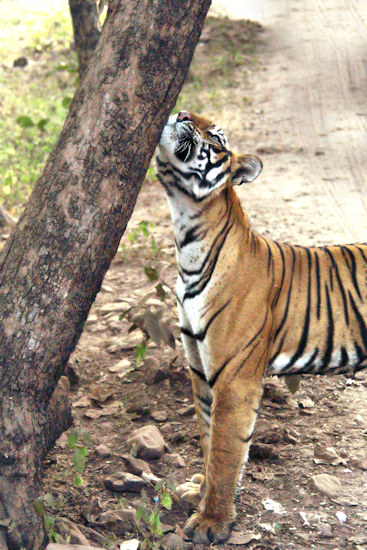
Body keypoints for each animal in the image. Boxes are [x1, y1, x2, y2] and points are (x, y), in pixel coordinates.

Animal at [156, 111, 367, 544]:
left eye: (216, 136)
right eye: (191, 115)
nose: (181, 113)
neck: (186, 232)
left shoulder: (235, 377)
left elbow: (225, 449)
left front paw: (211, 522)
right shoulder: (200, 368)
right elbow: (206, 437)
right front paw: (199, 494)